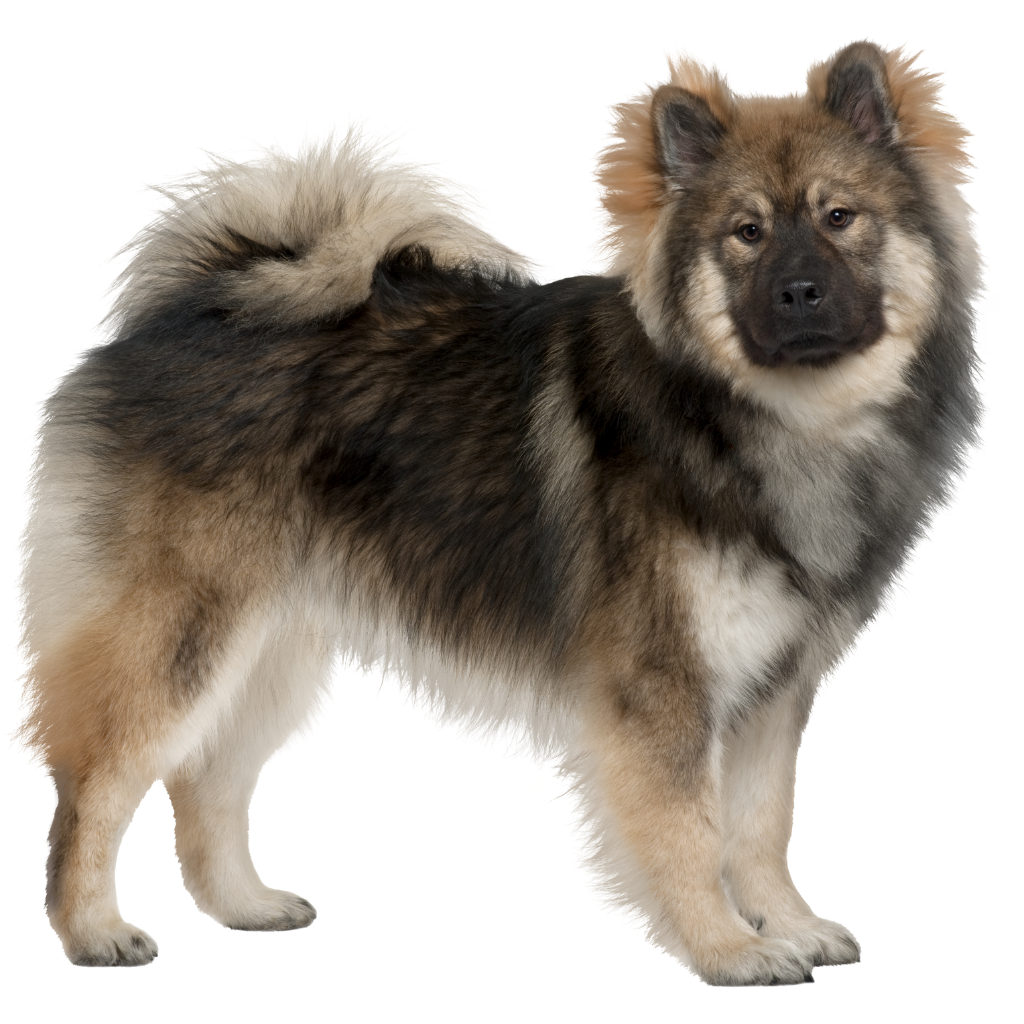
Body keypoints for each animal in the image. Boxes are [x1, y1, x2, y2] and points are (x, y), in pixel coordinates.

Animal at [21, 42, 978, 983]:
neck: (762, 418)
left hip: (271, 647)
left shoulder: (773, 685)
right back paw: (94, 930)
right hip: (179, 634)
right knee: (95, 788)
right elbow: (690, 831)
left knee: (207, 782)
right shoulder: (663, 683)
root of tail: (182, 315)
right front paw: (728, 949)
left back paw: (246, 907)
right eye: (747, 233)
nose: (800, 291)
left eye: (840, 217)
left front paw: (789, 924)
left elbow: (760, 825)